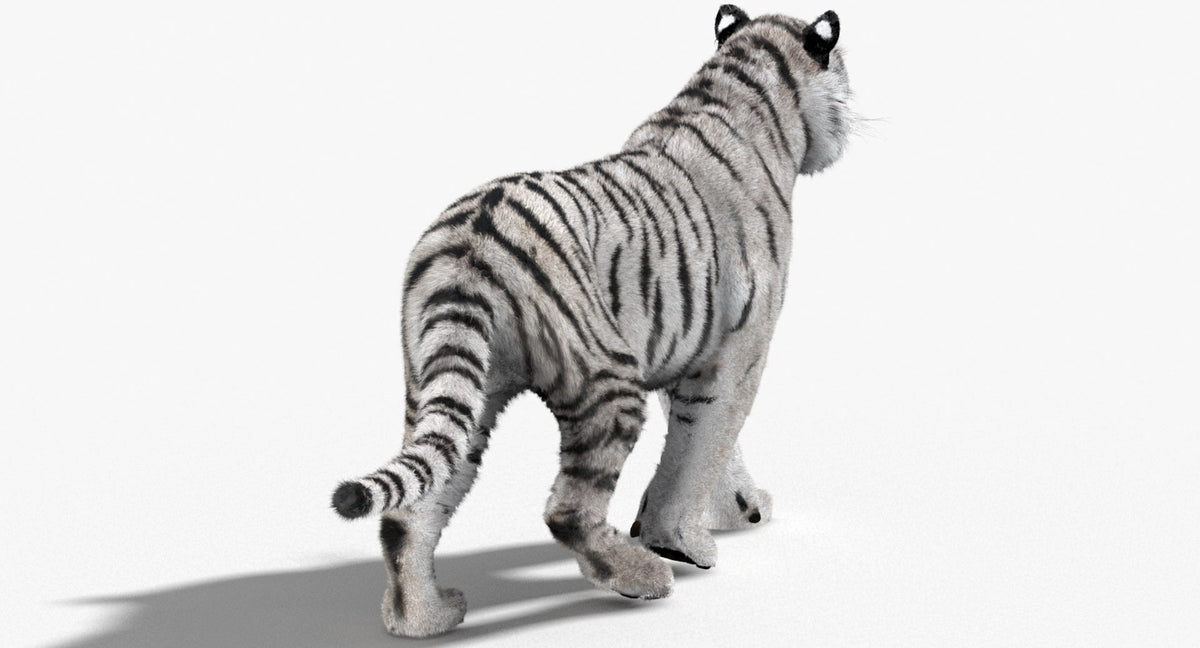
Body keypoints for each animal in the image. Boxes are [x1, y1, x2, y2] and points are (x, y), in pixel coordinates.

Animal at [331, 5, 852, 637]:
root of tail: (470, 241)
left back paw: (425, 619)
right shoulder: (735, 354)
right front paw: (682, 544)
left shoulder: (682, 345)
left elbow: (706, 446)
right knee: (566, 509)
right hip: (606, 381)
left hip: (454, 388)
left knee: (411, 508)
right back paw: (642, 576)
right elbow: (703, 447)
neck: (742, 84)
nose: (849, 117)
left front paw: (736, 510)